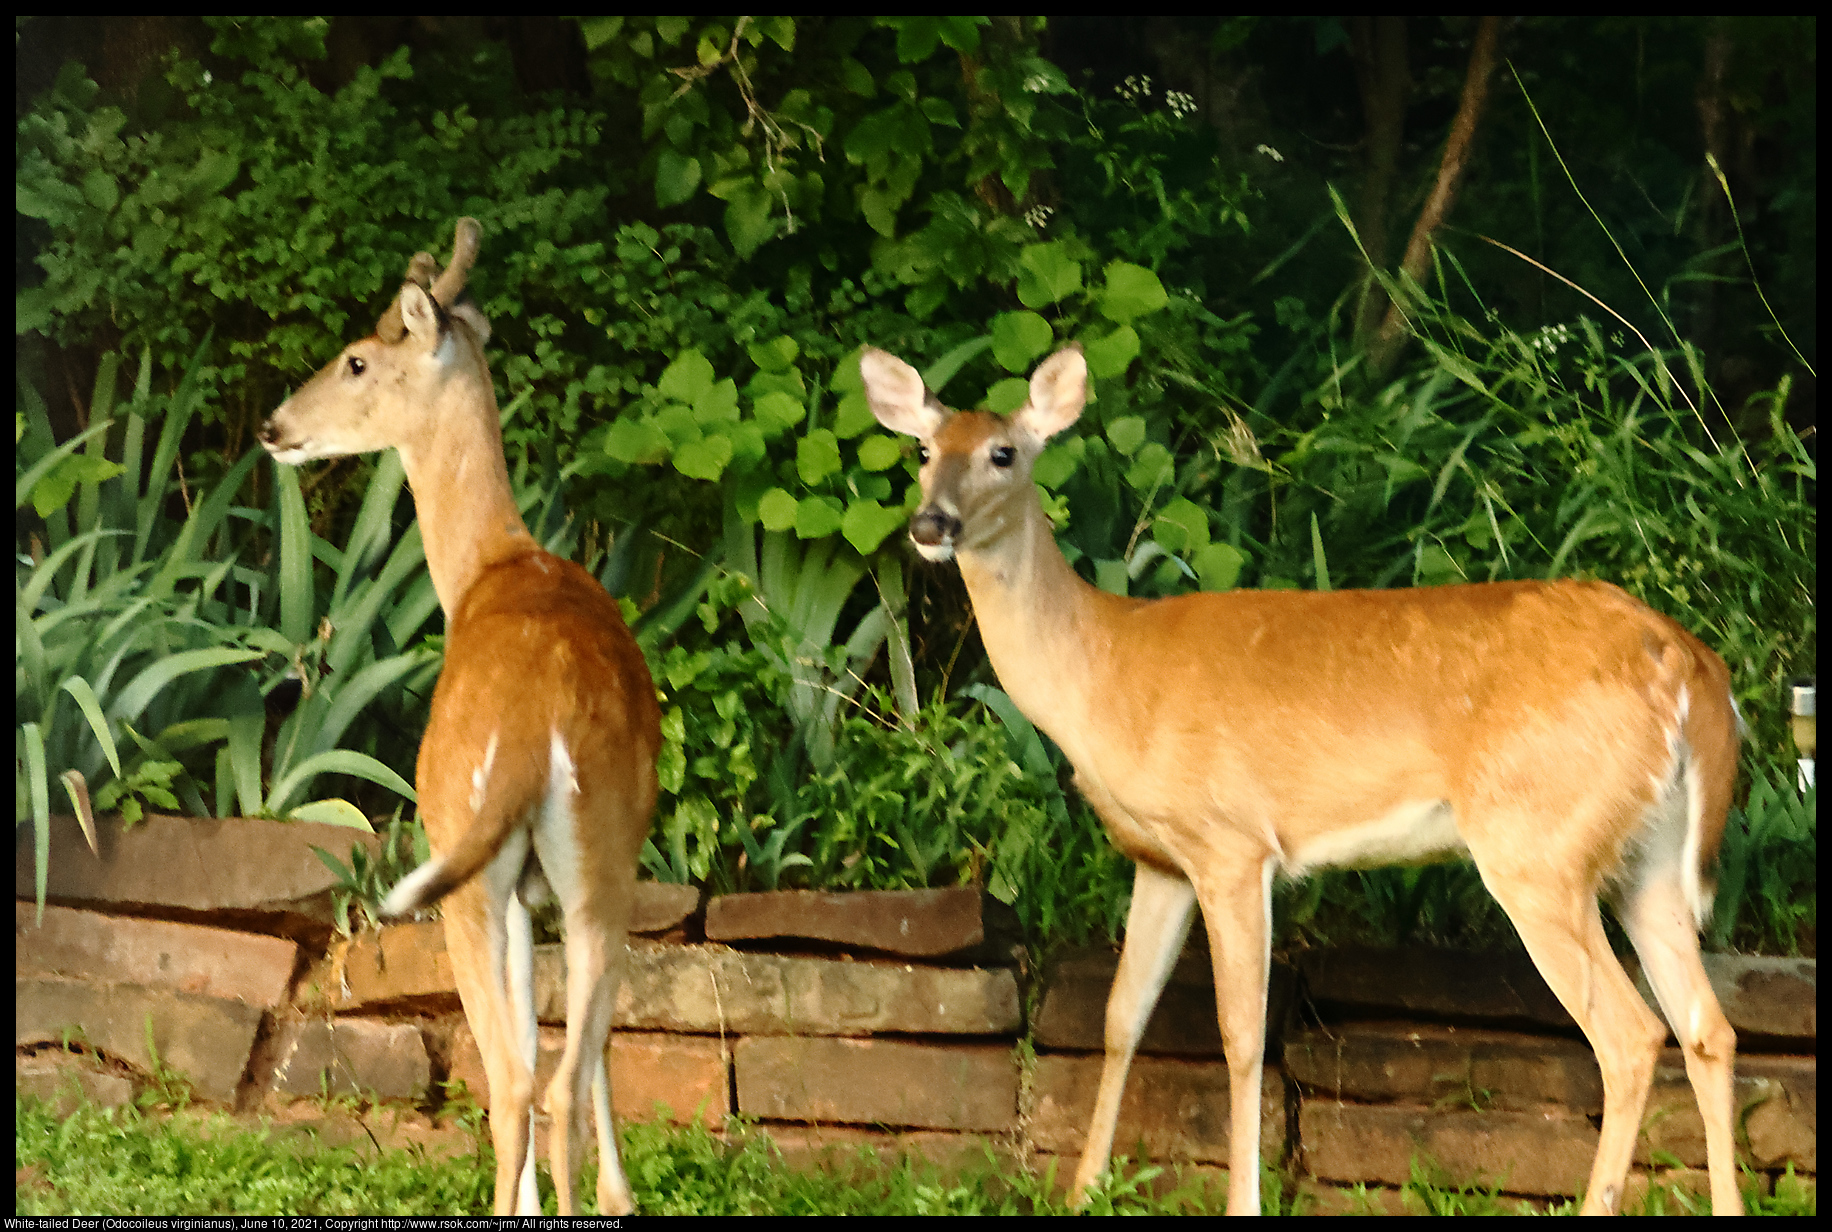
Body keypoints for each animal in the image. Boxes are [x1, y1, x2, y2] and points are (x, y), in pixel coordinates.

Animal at [258, 219, 659, 1210]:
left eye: (357, 358)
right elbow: (590, 1056)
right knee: (571, 1068)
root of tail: (539, 732)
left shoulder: (498, 884)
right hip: (602, 853)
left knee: (515, 1081)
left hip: (460, 860)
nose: (275, 426)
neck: (486, 564)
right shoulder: (557, 884)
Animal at [857, 344, 1744, 1210]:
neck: (1103, 668)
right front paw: (1081, 1193)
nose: (931, 524)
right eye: (924, 451)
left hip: (1538, 842)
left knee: (1632, 1035)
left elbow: (1242, 1035)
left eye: (1004, 453)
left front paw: (1238, 1200)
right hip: (1644, 856)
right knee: (1708, 1026)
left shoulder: (1230, 842)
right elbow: (1121, 1015)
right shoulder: (1160, 857)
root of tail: (1686, 663)